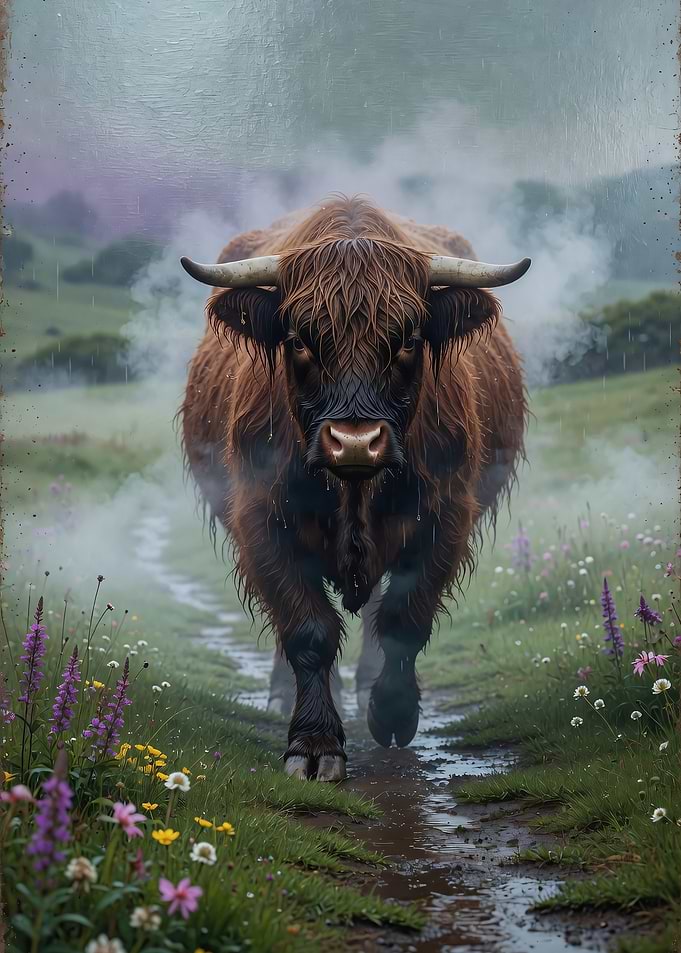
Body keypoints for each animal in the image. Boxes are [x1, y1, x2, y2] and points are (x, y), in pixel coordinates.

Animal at [179, 196, 529, 782]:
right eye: (300, 341)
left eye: (408, 340)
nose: (356, 443)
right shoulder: (261, 519)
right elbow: (307, 630)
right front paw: (314, 744)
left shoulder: (446, 517)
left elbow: (403, 620)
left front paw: (392, 713)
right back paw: (283, 695)